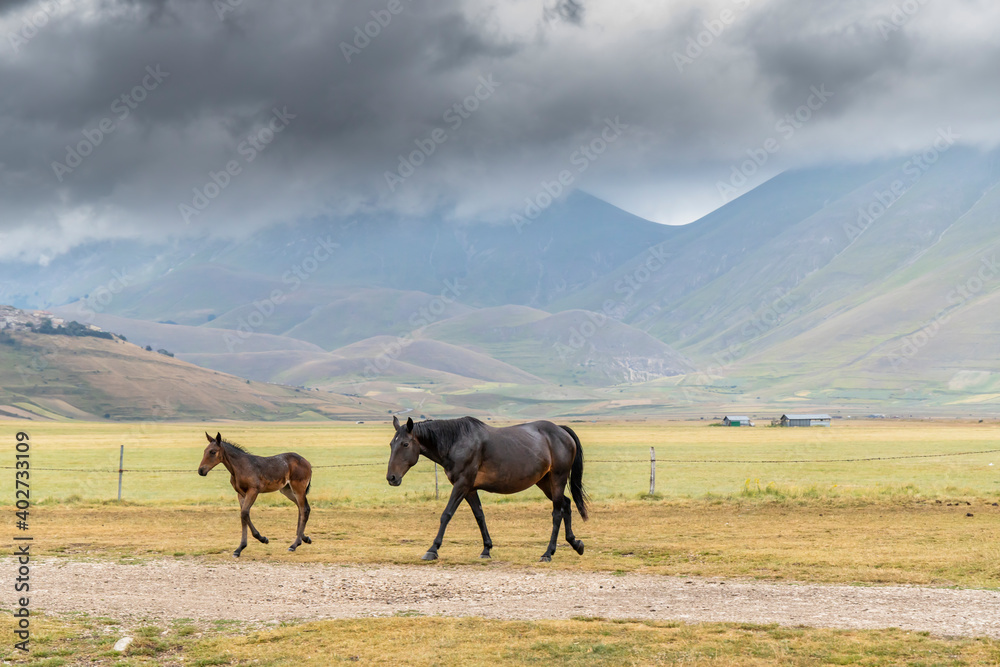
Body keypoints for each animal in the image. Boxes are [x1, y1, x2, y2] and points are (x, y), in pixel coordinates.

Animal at [385, 416, 589, 562]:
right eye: (391, 444)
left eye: (405, 444)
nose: (391, 478)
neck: (457, 442)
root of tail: (561, 431)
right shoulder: (469, 489)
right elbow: (479, 516)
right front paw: (486, 549)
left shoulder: (462, 484)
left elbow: (447, 514)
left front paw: (432, 549)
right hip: (545, 482)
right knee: (566, 504)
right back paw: (575, 543)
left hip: (557, 479)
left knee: (557, 513)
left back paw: (547, 553)